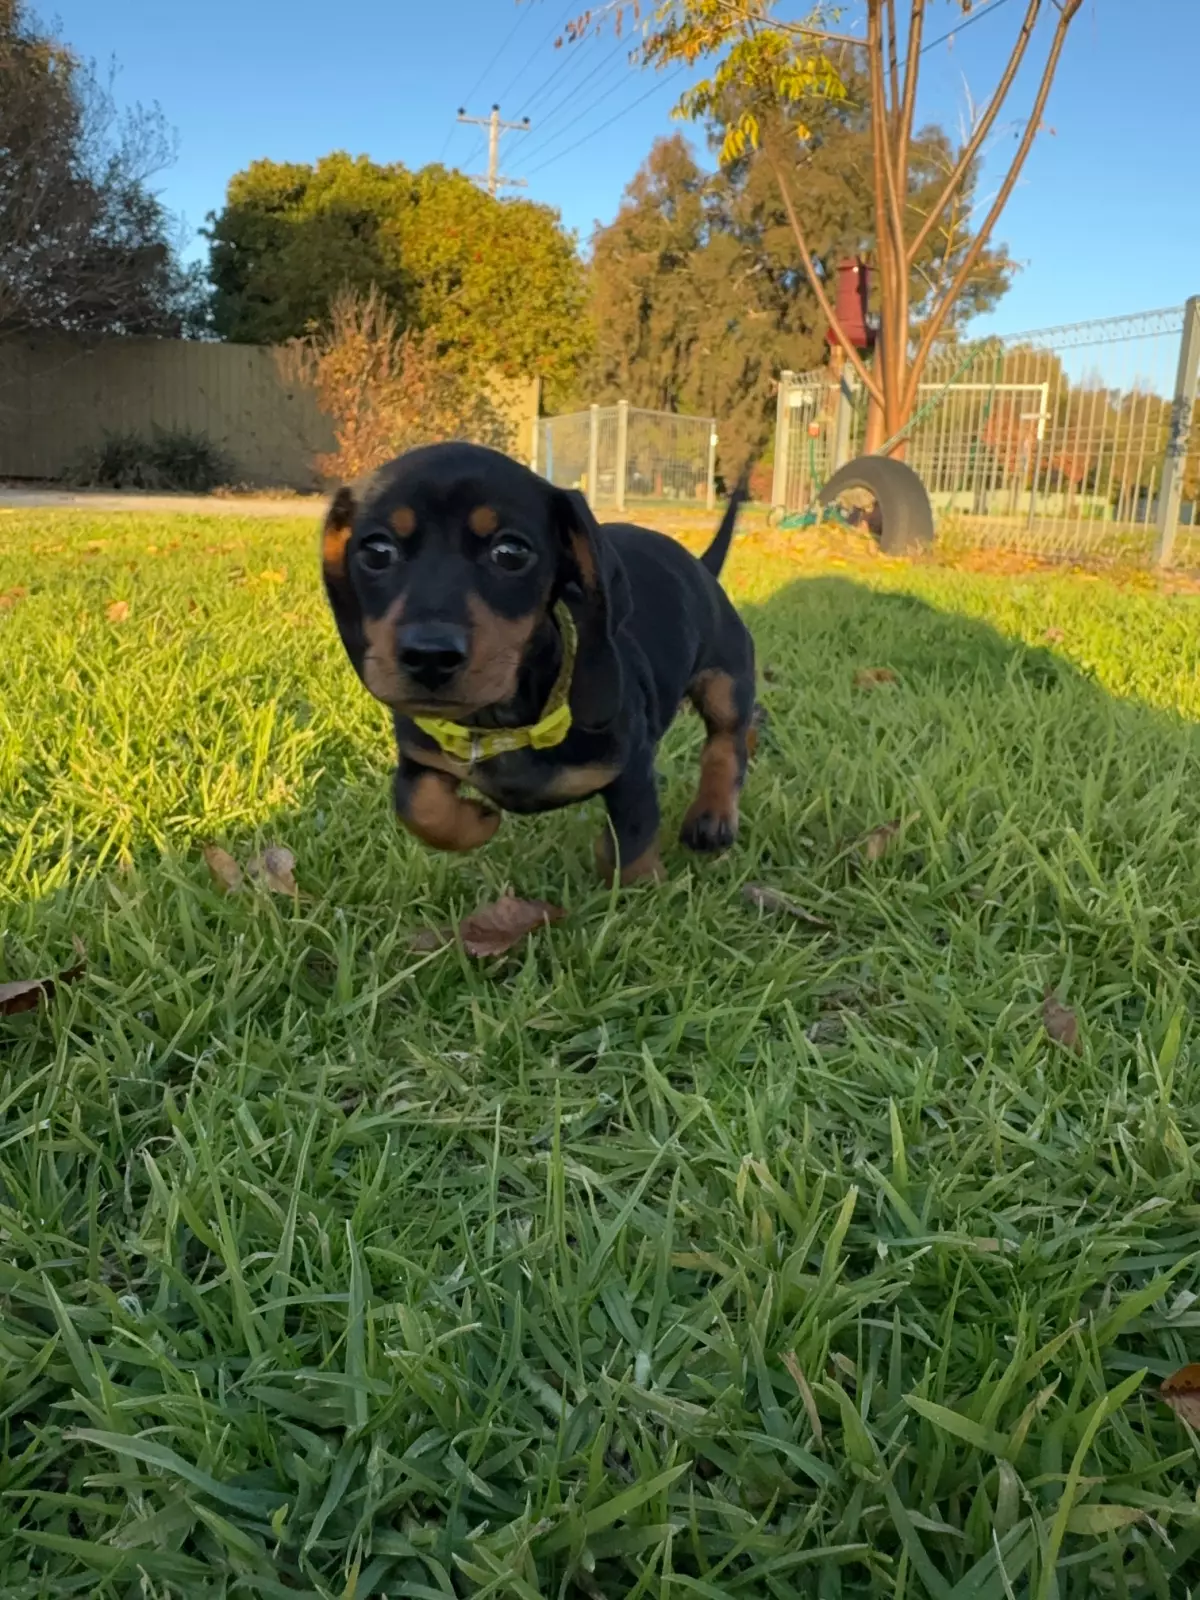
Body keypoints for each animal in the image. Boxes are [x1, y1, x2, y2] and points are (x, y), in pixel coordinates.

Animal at [320, 441, 756, 884]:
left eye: (511, 553)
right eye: (377, 551)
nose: (430, 657)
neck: (503, 727)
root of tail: (701, 566)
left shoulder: (631, 767)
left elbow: (630, 844)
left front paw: (641, 887)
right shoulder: (420, 758)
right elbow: (417, 805)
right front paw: (477, 820)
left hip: (726, 680)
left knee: (729, 741)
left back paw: (713, 816)